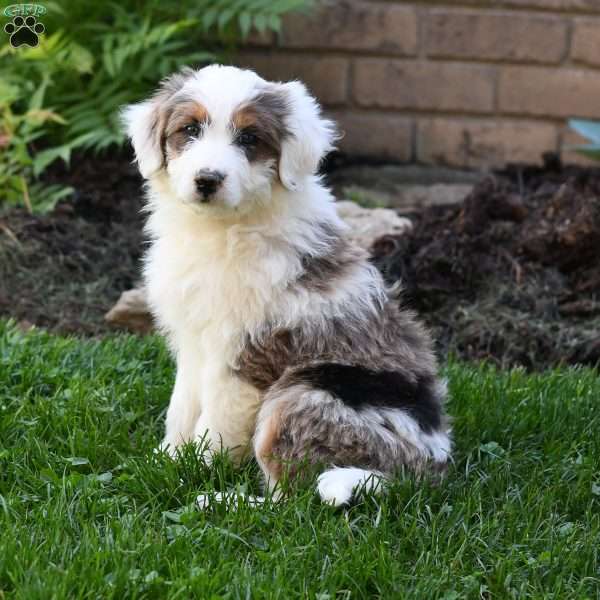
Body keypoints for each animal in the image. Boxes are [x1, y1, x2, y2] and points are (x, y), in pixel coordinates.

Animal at [123, 65, 450, 506]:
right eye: (189, 130)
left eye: (248, 138)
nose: (207, 180)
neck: (223, 229)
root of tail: (425, 466)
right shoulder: (193, 343)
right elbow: (182, 407)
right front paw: (167, 459)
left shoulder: (243, 352)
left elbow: (217, 422)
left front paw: (199, 468)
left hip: (302, 392)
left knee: (289, 501)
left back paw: (221, 503)